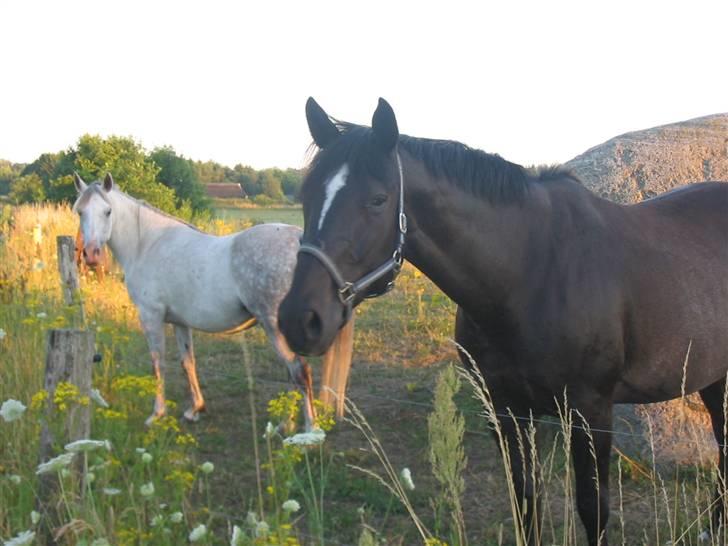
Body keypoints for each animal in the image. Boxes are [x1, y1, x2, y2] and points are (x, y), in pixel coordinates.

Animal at [72, 172, 354, 428]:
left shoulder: (150, 317)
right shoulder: (180, 322)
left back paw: (309, 432)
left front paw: (157, 414)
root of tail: (299, 239)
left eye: (108, 211)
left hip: (275, 326)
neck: (148, 244)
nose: (91, 254)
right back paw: (287, 426)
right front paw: (195, 409)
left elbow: (158, 363)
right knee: (294, 373)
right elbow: (187, 362)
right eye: (80, 212)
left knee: (299, 372)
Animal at [280, 99, 728, 544]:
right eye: (307, 194)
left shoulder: (591, 411)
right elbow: (526, 501)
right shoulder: (508, 410)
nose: (300, 318)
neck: (531, 271)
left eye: (377, 199)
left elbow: (593, 509)